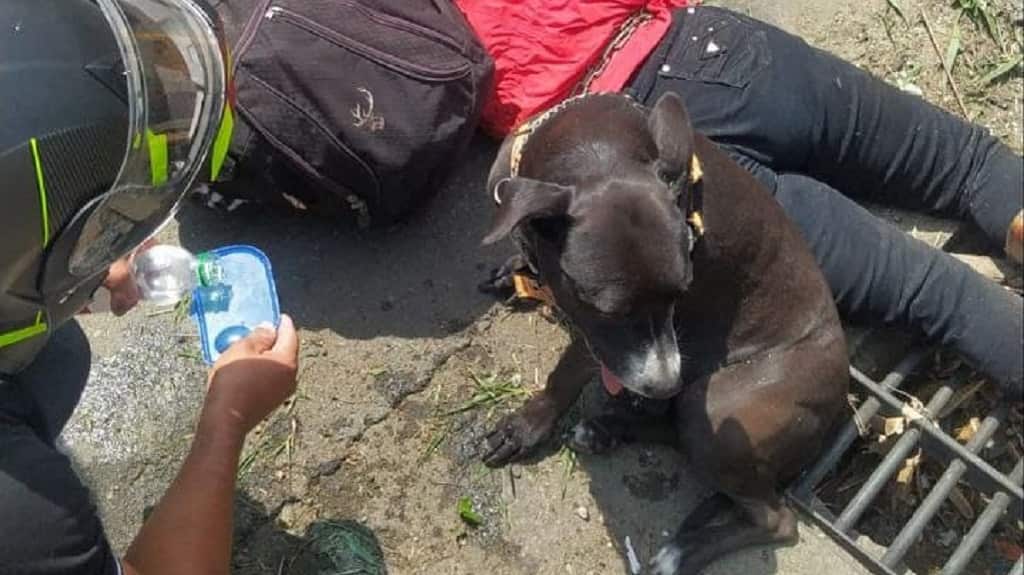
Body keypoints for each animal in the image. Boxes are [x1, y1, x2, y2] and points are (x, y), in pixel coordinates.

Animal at [479, 91, 847, 568]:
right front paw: (514, 270)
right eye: (613, 311)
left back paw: (680, 554)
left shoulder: (597, 346)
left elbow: (567, 372)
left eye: (681, 293)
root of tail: (839, 404)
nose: (665, 382)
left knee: (776, 520)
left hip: (719, 406)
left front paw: (528, 424)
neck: (595, 147)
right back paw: (608, 430)